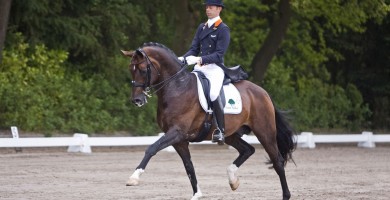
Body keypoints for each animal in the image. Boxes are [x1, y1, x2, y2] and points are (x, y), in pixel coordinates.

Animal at [122, 42, 296, 200]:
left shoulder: (176, 132)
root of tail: (262, 92)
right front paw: (197, 194)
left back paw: (286, 195)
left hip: (264, 132)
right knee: (248, 150)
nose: (136, 100)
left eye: (142, 70)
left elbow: (152, 148)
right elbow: (189, 166)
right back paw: (233, 180)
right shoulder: (179, 140)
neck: (177, 88)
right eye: (131, 69)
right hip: (231, 134)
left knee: (277, 161)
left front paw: (134, 177)